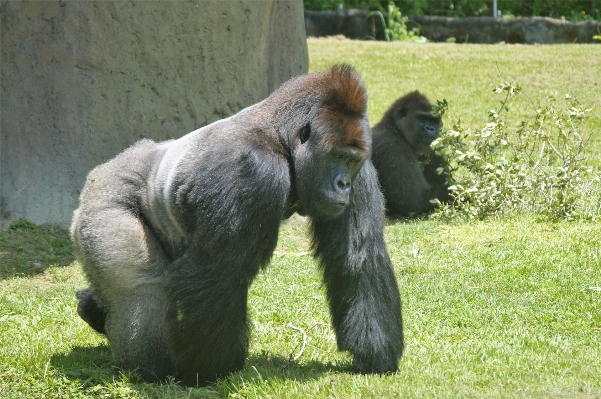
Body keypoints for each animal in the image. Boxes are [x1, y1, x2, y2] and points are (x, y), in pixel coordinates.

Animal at [72, 65, 406, 388]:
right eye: (336, 156)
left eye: (352, 160)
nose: (343, 184)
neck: (279, 138)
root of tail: (104, 169)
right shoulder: (253, 170)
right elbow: (217, 273)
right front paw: (209, 370)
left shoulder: (363, 170)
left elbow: (358, 258)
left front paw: (375, 355)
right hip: (103, 200)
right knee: (141, 287)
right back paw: (149, 367)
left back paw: (93, 309)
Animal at [370, 91, 450, 219]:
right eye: (421, 118)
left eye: (433, 121)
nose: (430, 128)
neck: (396, 129)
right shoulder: (391, 147)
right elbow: (414, 199)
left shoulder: (431, 149)